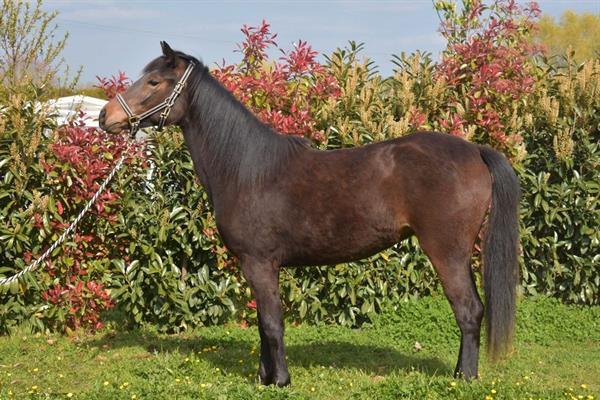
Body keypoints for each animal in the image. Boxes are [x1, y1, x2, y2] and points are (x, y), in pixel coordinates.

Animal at [99, 42, 520, 386]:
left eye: (154, 81)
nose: (106, 117)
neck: (247, 169)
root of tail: (475, 150)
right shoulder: (257, 267)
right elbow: (262, 324)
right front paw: (264, 378)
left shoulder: (259, 263)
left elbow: (272, 324)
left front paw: (281, 380)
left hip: (446, 252)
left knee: (468, 311)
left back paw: (465, 378)